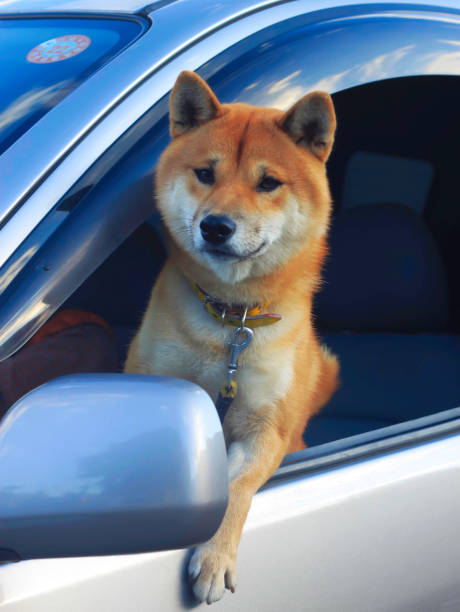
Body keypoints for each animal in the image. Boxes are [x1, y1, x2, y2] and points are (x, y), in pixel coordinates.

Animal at [124, 70, 340, 604]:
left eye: (268, 183)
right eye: (205, 173)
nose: (216, 226)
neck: (230, 321)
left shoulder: (268, 428)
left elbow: (237, 486)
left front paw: (216, 555)